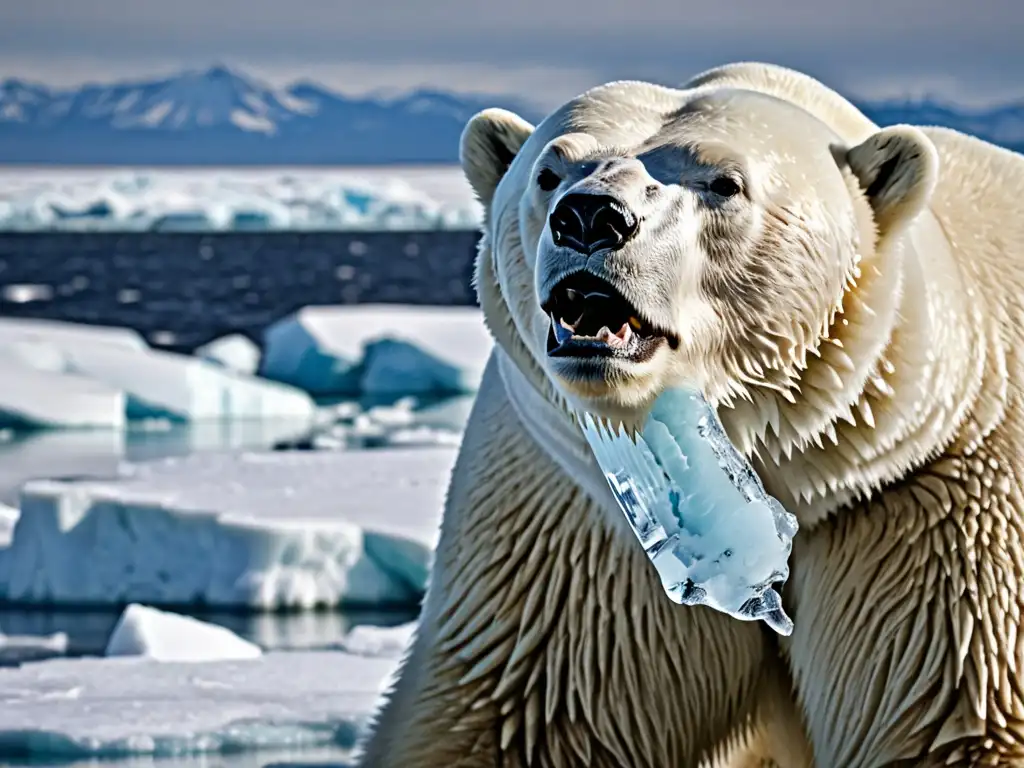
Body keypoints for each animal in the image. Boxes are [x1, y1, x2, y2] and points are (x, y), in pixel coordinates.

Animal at [358, 63, 1024, 765]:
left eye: (724, 182)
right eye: (549, 171)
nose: (591, 216)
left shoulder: (931, 515)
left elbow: (955, 715)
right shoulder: (574, 527)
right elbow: (519, 715)